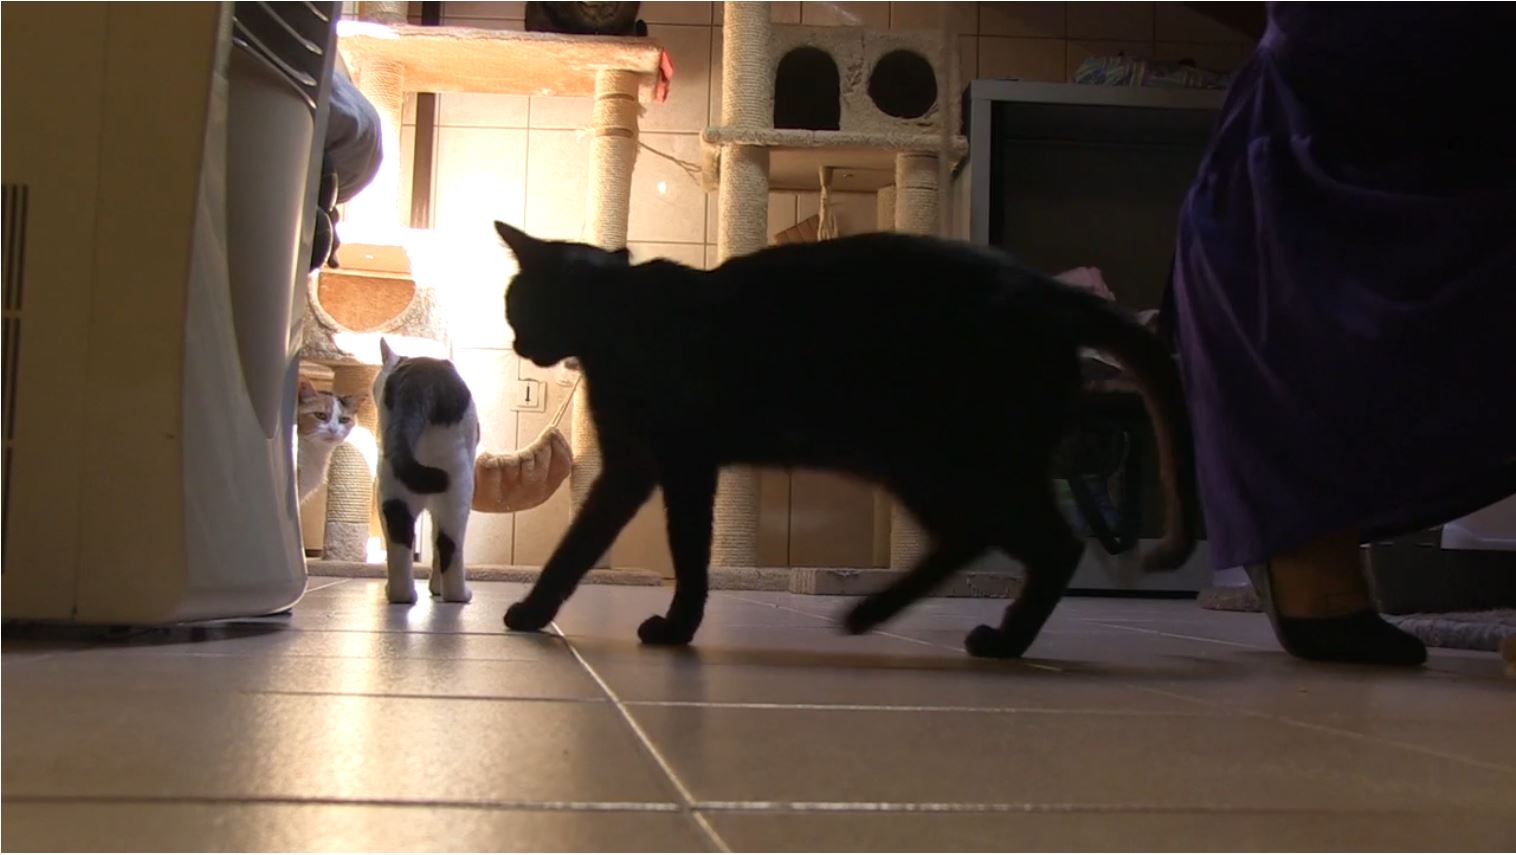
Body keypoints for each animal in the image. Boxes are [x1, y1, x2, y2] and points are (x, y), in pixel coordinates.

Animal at [372, 338, 481, 605]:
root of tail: (419, 381)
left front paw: (433, 587)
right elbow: (437, 547)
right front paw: (437, 588)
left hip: (392, 490)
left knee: (400, 547)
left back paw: (401, 595)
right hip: (459, 489)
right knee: (450, 546)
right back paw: (460, 595)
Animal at [493, 221, 1198, 658]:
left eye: (515, 304)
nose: (517, 343)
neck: (622, 319)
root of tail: (1047, 289)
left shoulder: (678, 462)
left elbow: (673, 549)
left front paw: (666, 625)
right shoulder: (638, 466)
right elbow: (585, 545)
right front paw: (546, 612)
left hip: (956, 460)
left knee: (1053, 543)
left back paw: (994, 640)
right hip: (927, 464)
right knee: (984, 539)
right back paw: (879, 615)